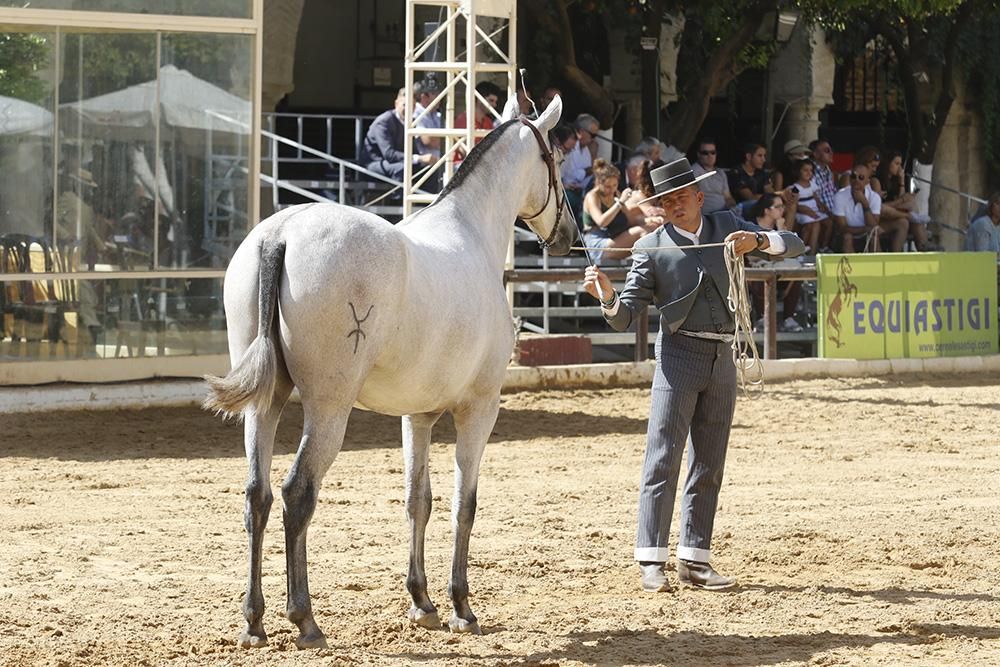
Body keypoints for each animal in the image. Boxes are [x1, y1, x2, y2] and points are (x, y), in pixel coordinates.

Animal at [203, 94, 576, 648]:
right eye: (558, 157)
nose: (568, 235)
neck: (470, 233)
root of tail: (280, 234)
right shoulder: (479, 408)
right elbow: (464, 503)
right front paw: (461, 606)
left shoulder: (417, 415)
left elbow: (417, 500)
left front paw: (422, 602)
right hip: (329, 409)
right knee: (297, 494)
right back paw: (305, 619)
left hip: (264, 404)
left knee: (258, 496)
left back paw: (254, 621)